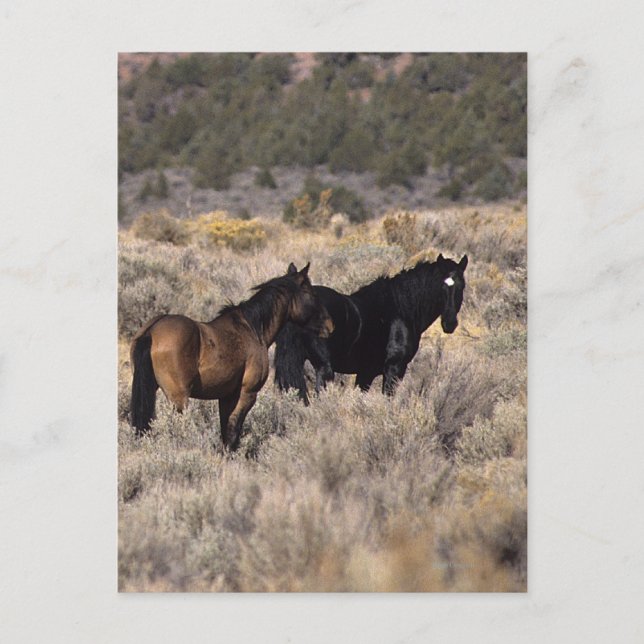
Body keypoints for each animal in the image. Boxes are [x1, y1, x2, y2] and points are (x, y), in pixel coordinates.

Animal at [130, 262, 333, 451]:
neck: (252, 329)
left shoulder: (226, 396)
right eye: (311, 294)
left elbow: (225, 429)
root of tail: (152, 330)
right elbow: (233, 431)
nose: (330, 325)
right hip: (179, 398)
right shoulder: (246, 393)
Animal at [274, 254, 468, 402]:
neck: (401, 308)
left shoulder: (365, 373)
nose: (450, 323)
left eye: (462, 286)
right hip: (324, 369)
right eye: (441, 286)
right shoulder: (394, 369)